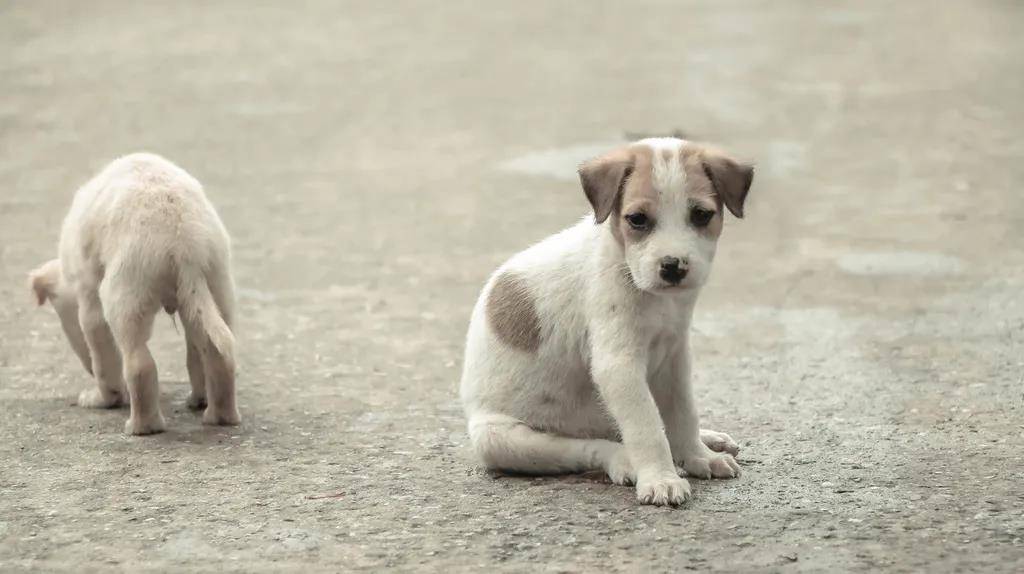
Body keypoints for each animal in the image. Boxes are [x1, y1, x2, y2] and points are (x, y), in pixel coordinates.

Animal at [29, 152, 239, 433]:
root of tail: (183, 243)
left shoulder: (89, 298)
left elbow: (102, 356)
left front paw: (102, 398)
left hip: (126, 290)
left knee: (139, 363)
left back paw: (141, 427)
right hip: (215, 282)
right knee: (214, 350)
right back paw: (217, 414)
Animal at [462, 136, 753, 503]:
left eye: (701, 215)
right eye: (637, 219)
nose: (673, 266)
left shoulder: (674, 358)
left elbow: (684, 414)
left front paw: (699, 456)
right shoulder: (618, 366)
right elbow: (647, 430)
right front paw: (661, 479)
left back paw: (708, 439)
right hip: (502, 439)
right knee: (595, 447)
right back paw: (626, 463)